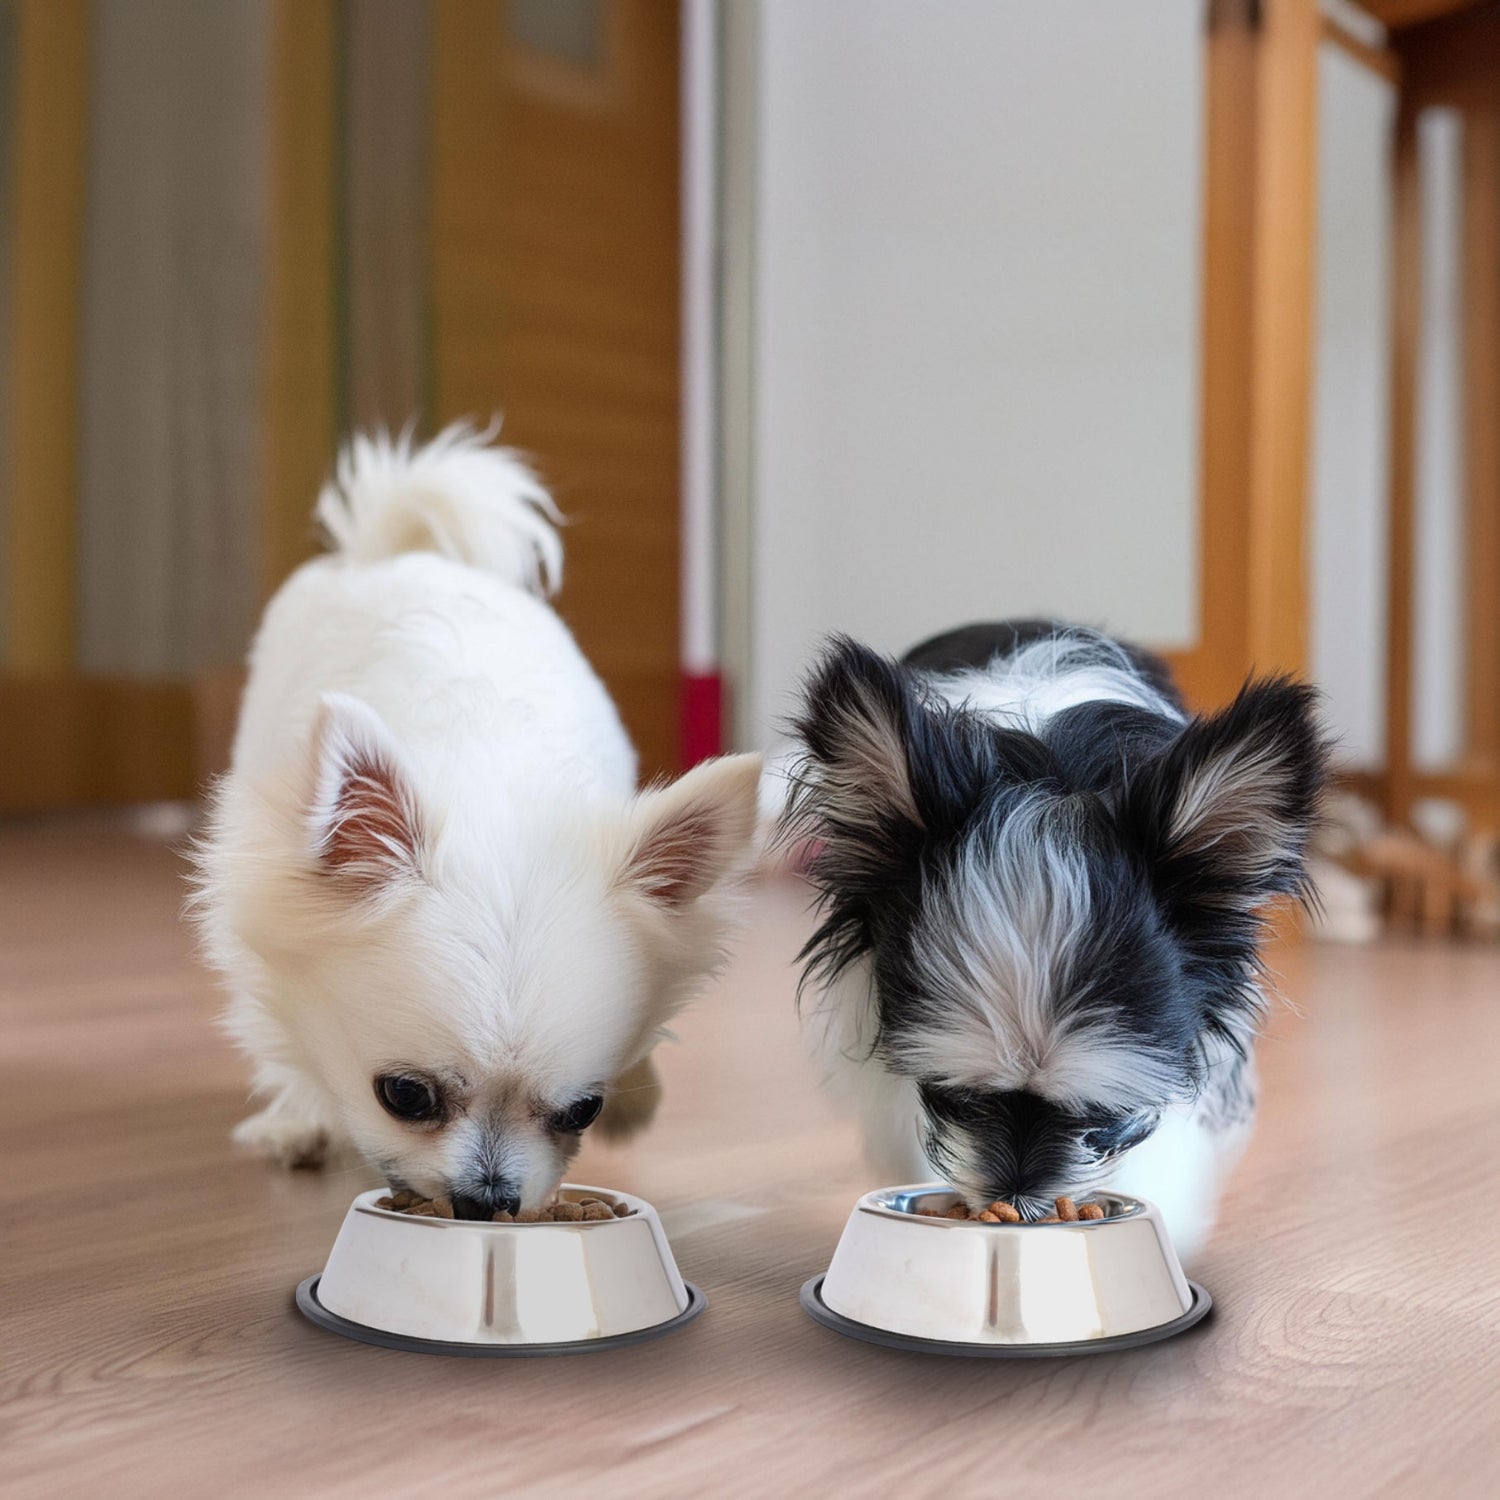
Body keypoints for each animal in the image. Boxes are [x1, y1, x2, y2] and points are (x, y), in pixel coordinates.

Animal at [196, 426, 762, 1218]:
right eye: (404, 1096)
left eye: (582, 1109)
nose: (486, 1199)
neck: (495, 786)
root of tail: (405, 552)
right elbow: (287, 1019)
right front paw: (302, 1115)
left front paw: (636, 1092)